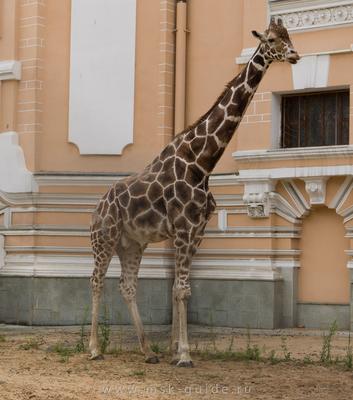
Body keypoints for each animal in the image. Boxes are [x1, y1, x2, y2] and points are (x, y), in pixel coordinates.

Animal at [88, 19, 300, 368]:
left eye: (289, 37)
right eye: (271, 39)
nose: (295, 55)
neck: (202, 163)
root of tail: (97, 207)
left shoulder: (197, 230)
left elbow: (180, 287)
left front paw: (174, 349)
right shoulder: (184, 228)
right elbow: (182, 288)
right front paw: (185, 354)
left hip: (131, 243)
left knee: (127, 285)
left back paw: (148, 351)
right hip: (104, 238)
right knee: (96, 280)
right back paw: (93, 348)